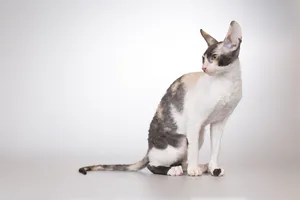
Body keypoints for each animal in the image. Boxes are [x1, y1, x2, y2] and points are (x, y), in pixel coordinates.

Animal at [78, 20, 243, 177]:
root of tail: (149, 149)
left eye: (214, 57)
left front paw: (213, 168)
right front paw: (193, 170)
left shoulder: (219, 123)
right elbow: (194, 151)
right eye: (203, 59)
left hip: (198, 134)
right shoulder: (195, 122)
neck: (227, 83)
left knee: (183, 160)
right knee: (153, 164)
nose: (204, 68)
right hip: (181, 141)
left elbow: (216, 149)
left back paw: (199, 167)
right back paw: (175, 170)